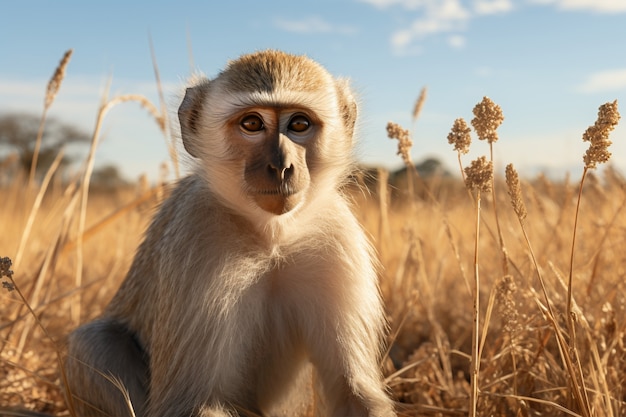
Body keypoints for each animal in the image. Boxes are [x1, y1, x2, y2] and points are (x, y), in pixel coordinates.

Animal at [63, 49, 394, 416]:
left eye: (299, 124)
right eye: (252, 124)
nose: (281, 166)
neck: (272, 238)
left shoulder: (338, 237)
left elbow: (351, 391)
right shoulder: (196, 234)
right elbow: (191, 403)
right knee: (93, 344)